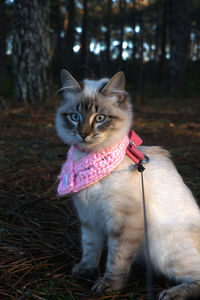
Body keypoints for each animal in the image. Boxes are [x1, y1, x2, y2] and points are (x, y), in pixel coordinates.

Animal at [55, 69, 200, 298]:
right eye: (75, 117)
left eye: (100, 118)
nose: (83, 134)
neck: (89, 158)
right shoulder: (89, 217)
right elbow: (90, 249)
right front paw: (85, 271)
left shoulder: (123, 223)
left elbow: (116, 260)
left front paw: (109, 286)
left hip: (163, 251)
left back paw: (171, 294)